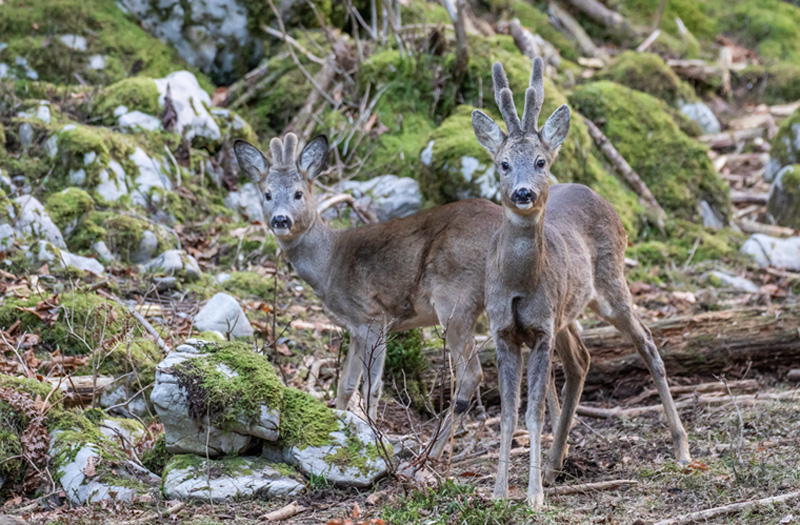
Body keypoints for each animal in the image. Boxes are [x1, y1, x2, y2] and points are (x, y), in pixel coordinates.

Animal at [233, 132, 500, 454]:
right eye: (267, 194)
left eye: (298, 193)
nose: (281, 220)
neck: (329, 263)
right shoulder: (355, 326)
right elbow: (346, 384)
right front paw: (337, 425)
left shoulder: (372, 317)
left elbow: (371, 387)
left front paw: (375, 436)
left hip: (455, 296)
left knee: (472, 374)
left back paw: (432, 452)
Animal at [472, 57, 692, 504]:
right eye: (503, 163)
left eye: (541, 161)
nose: (523, 192)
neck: (518, 284)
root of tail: (602, 198)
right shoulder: (504, 330)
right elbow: (508, 413)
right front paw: (500, 492)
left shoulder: (540, 329)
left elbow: (533, 412)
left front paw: (533, 497)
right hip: (567, 312)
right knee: (581, 361)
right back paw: (556, 463)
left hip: (610, 283)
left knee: (647, 342)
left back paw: (681, 447)